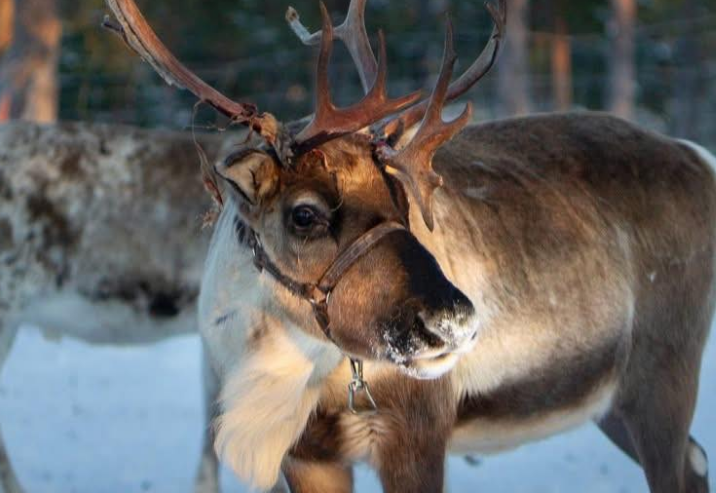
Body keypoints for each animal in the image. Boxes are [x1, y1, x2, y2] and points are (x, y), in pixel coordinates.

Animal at [104, 0, 714, 492]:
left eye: (404, 203)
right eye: (304, 214)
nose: (454, 322)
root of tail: (700, 158)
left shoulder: (417, 432)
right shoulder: (307, 452)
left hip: (665, 373)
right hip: (613, 401)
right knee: (696, 462)